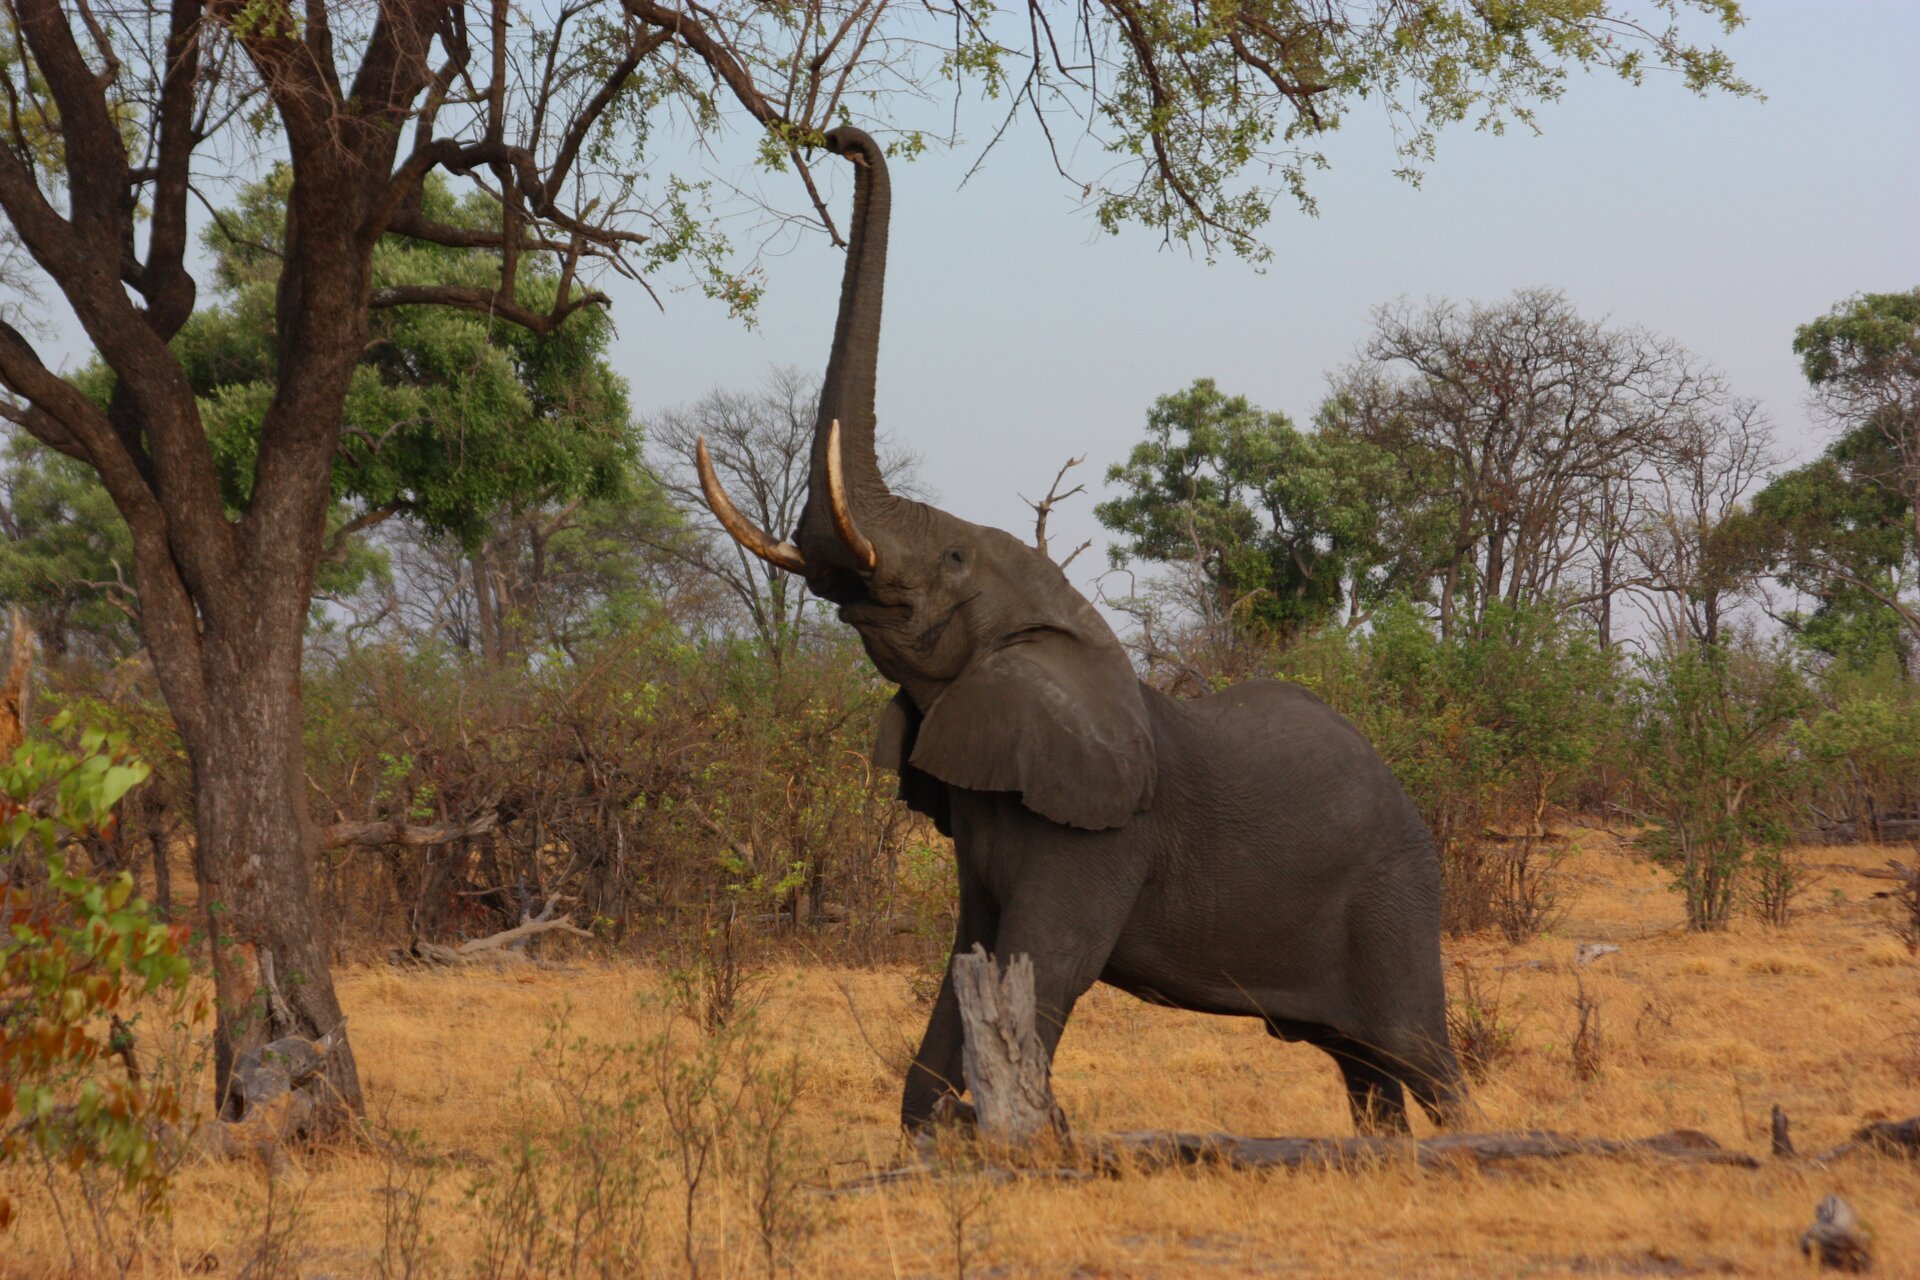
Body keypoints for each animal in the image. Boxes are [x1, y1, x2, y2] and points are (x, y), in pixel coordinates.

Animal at [698, 124, 1459, 1136]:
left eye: (953, 560)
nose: (841, 139)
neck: (1054, 629)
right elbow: (970, 959)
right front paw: (935, 1137)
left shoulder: (1101, 832)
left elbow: (1051, 964)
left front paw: (1017, 1133)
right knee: (1362, 1066)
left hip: (1395, 896)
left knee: (1417, 1055)